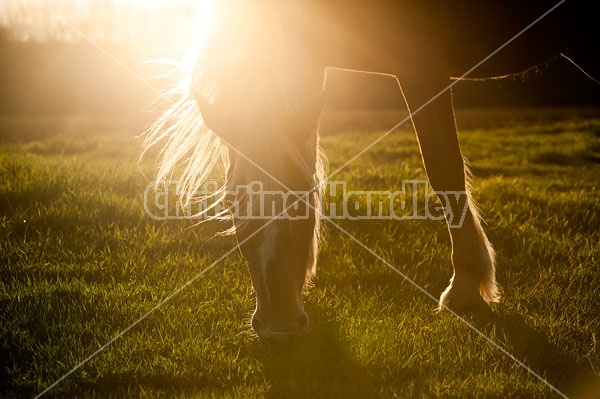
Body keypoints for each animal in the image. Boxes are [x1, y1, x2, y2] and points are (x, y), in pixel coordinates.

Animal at [143, 0, 596, 340]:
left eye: (301, 197)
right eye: (232, 201)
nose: (279, 324)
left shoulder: (421, 64)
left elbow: (443, 172)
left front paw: (466, 286)